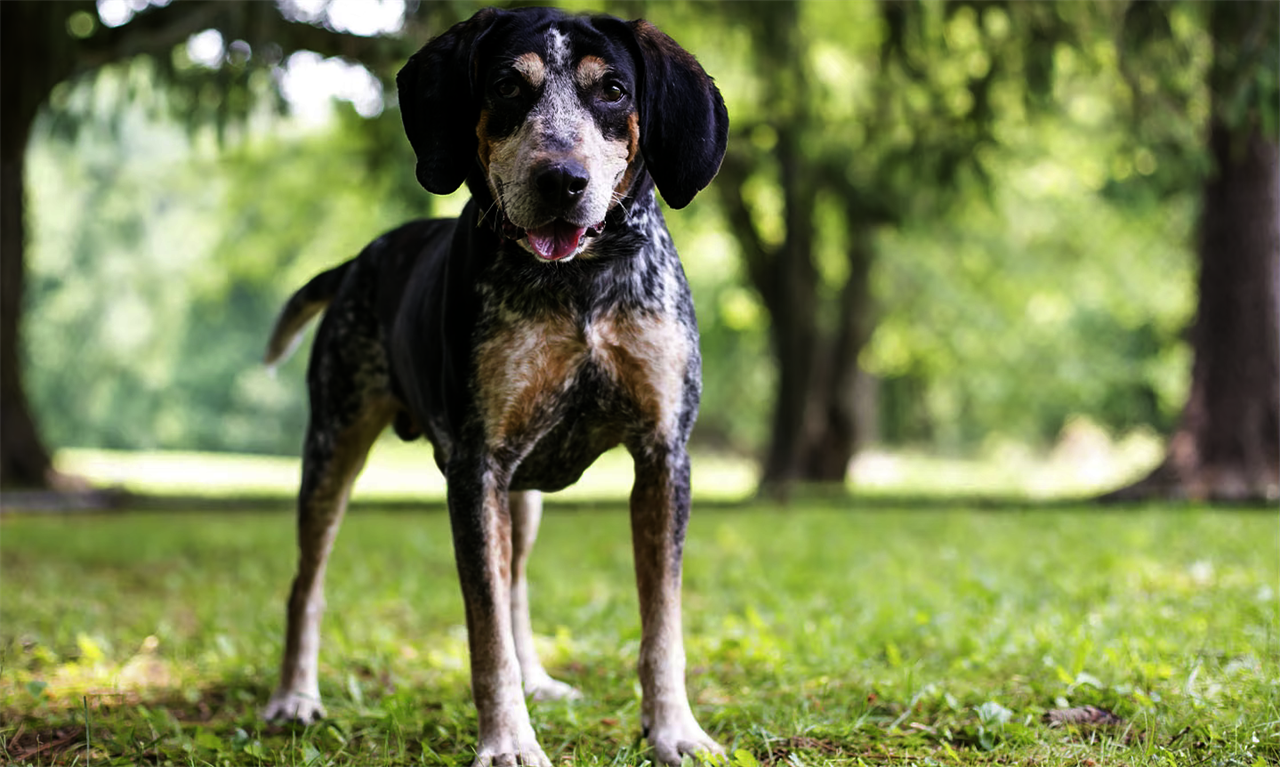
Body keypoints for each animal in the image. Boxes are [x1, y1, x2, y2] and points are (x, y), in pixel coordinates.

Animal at [259, 7, 732, 767]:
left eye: (613, 91)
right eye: (509, 86)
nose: (562, 179)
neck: (580, 282)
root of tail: (360, 259)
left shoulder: (664, 457)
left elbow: (662, 623)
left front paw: (675, 730)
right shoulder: (476, 467)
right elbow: (485, 634)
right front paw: (508, 739)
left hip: (524, 496)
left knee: (517, 589)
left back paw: (539, 679)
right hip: (333, 451)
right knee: (307, 584)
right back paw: (294, 696)